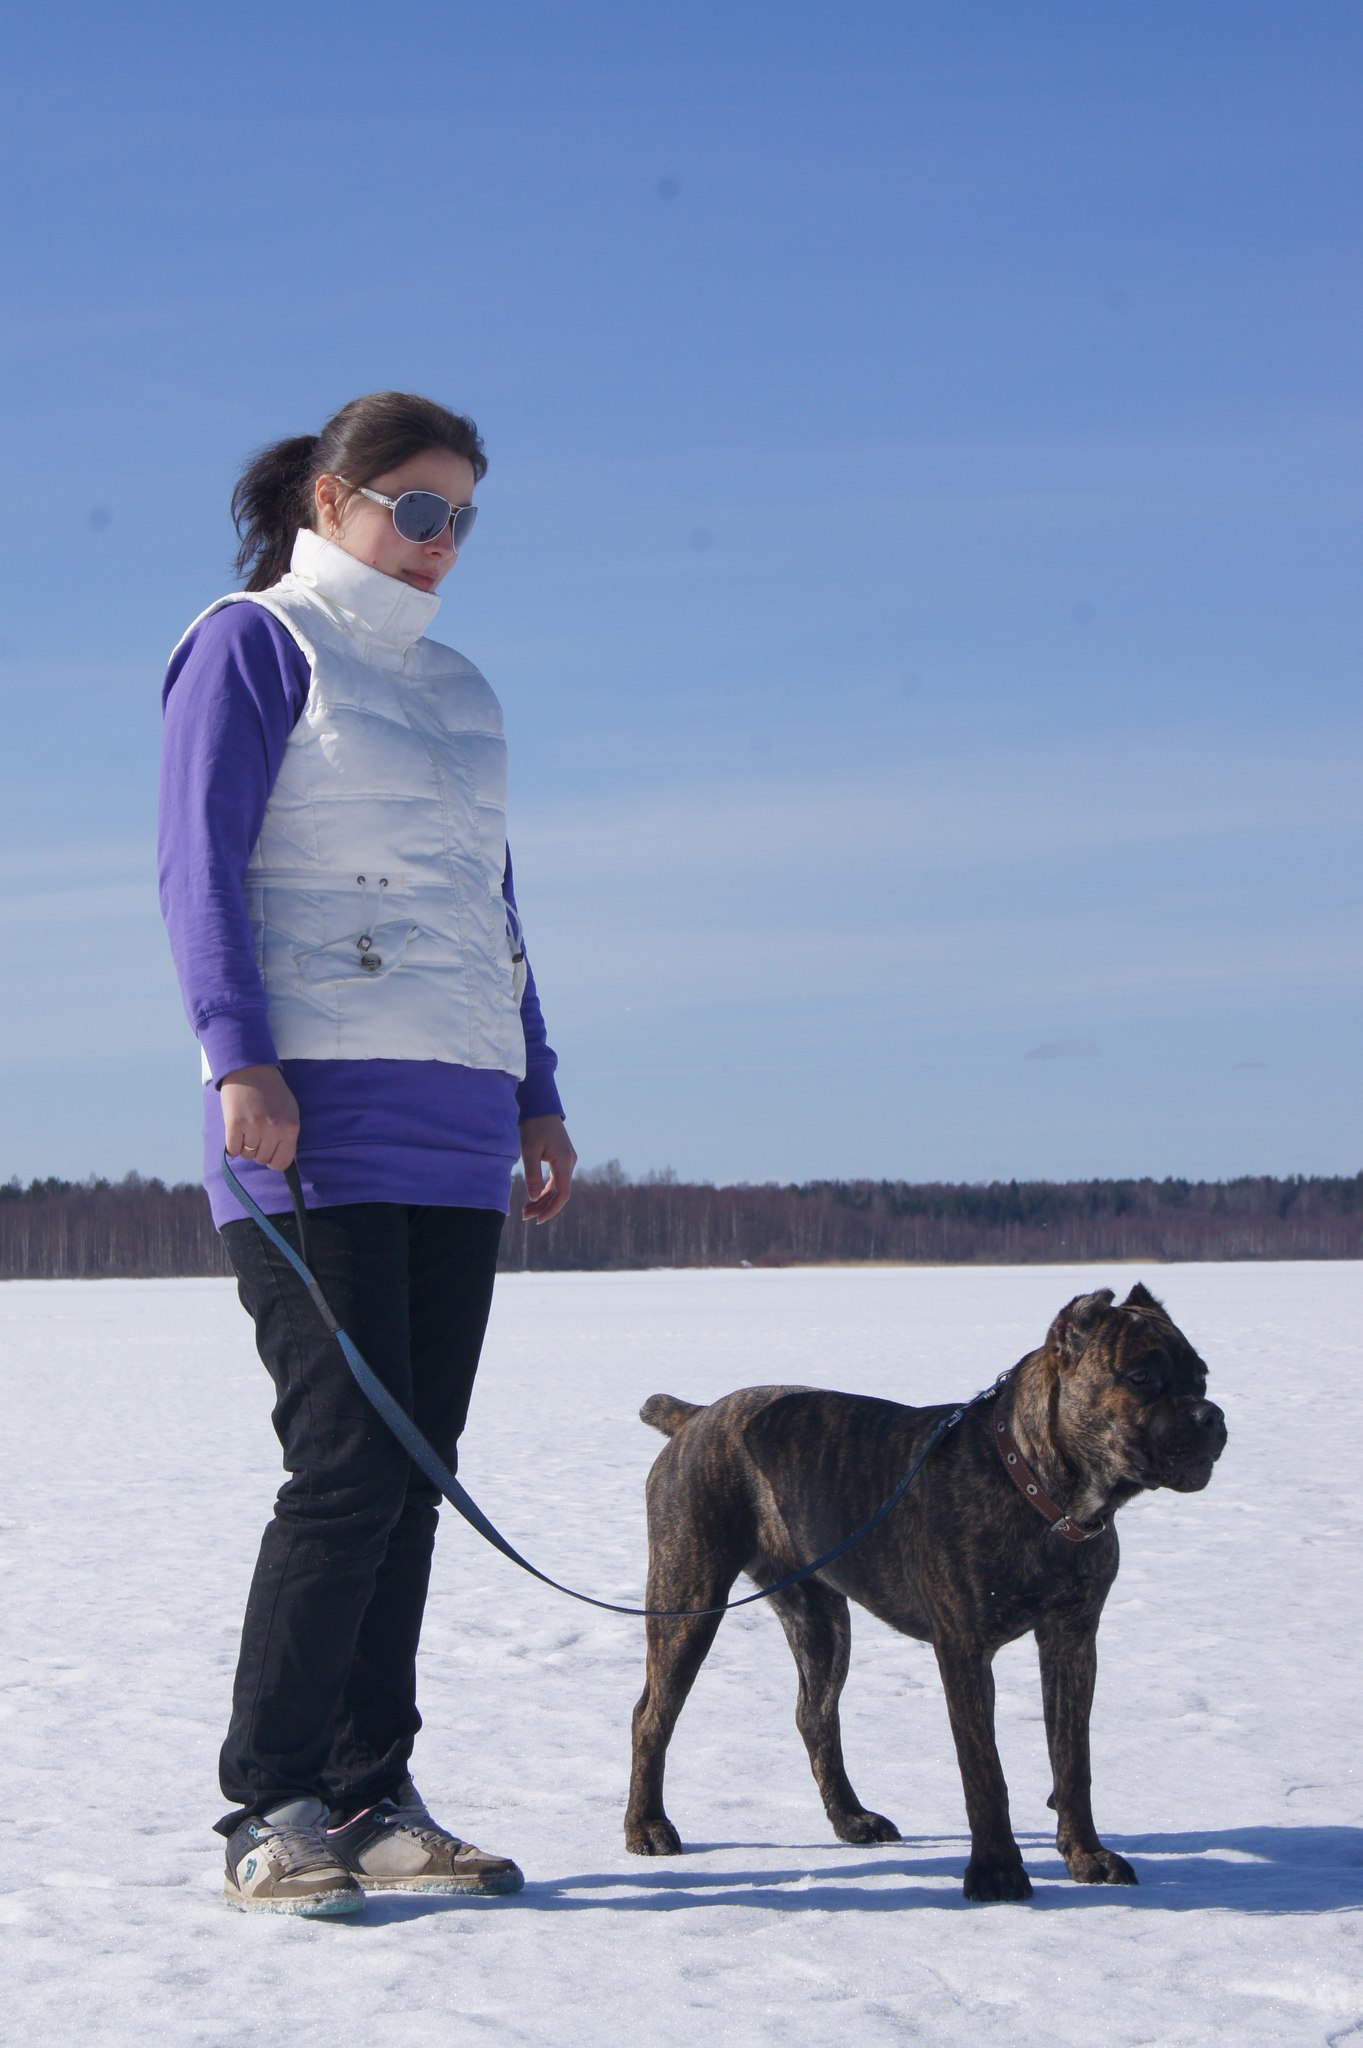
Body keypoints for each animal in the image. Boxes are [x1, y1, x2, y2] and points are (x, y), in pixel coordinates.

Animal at [624, 1282, 1226, 1901]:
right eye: (1141, 1377)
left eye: (1201, 1377)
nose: (1212, 1417)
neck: (1040, 1490)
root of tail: (697, 1417)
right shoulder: (964, 1649)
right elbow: (984, 1769)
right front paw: (996, 1871)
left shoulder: (1072, 1638)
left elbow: (1072, 1759)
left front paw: (1086, 1855)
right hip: (688, 1600)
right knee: (652, 1716)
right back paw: (647, 1826)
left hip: (819, 1619)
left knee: (815, 1714)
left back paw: (851, 1819)